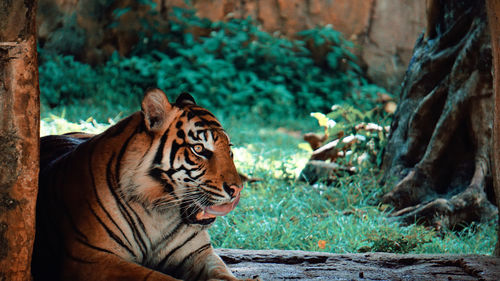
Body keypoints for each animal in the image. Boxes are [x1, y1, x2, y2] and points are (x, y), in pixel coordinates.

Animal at [32, 88, 258, 280]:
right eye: (199, 149)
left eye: (229, 149)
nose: (237, 189)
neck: (158, 213)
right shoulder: (91, 258)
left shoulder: (199, 253)